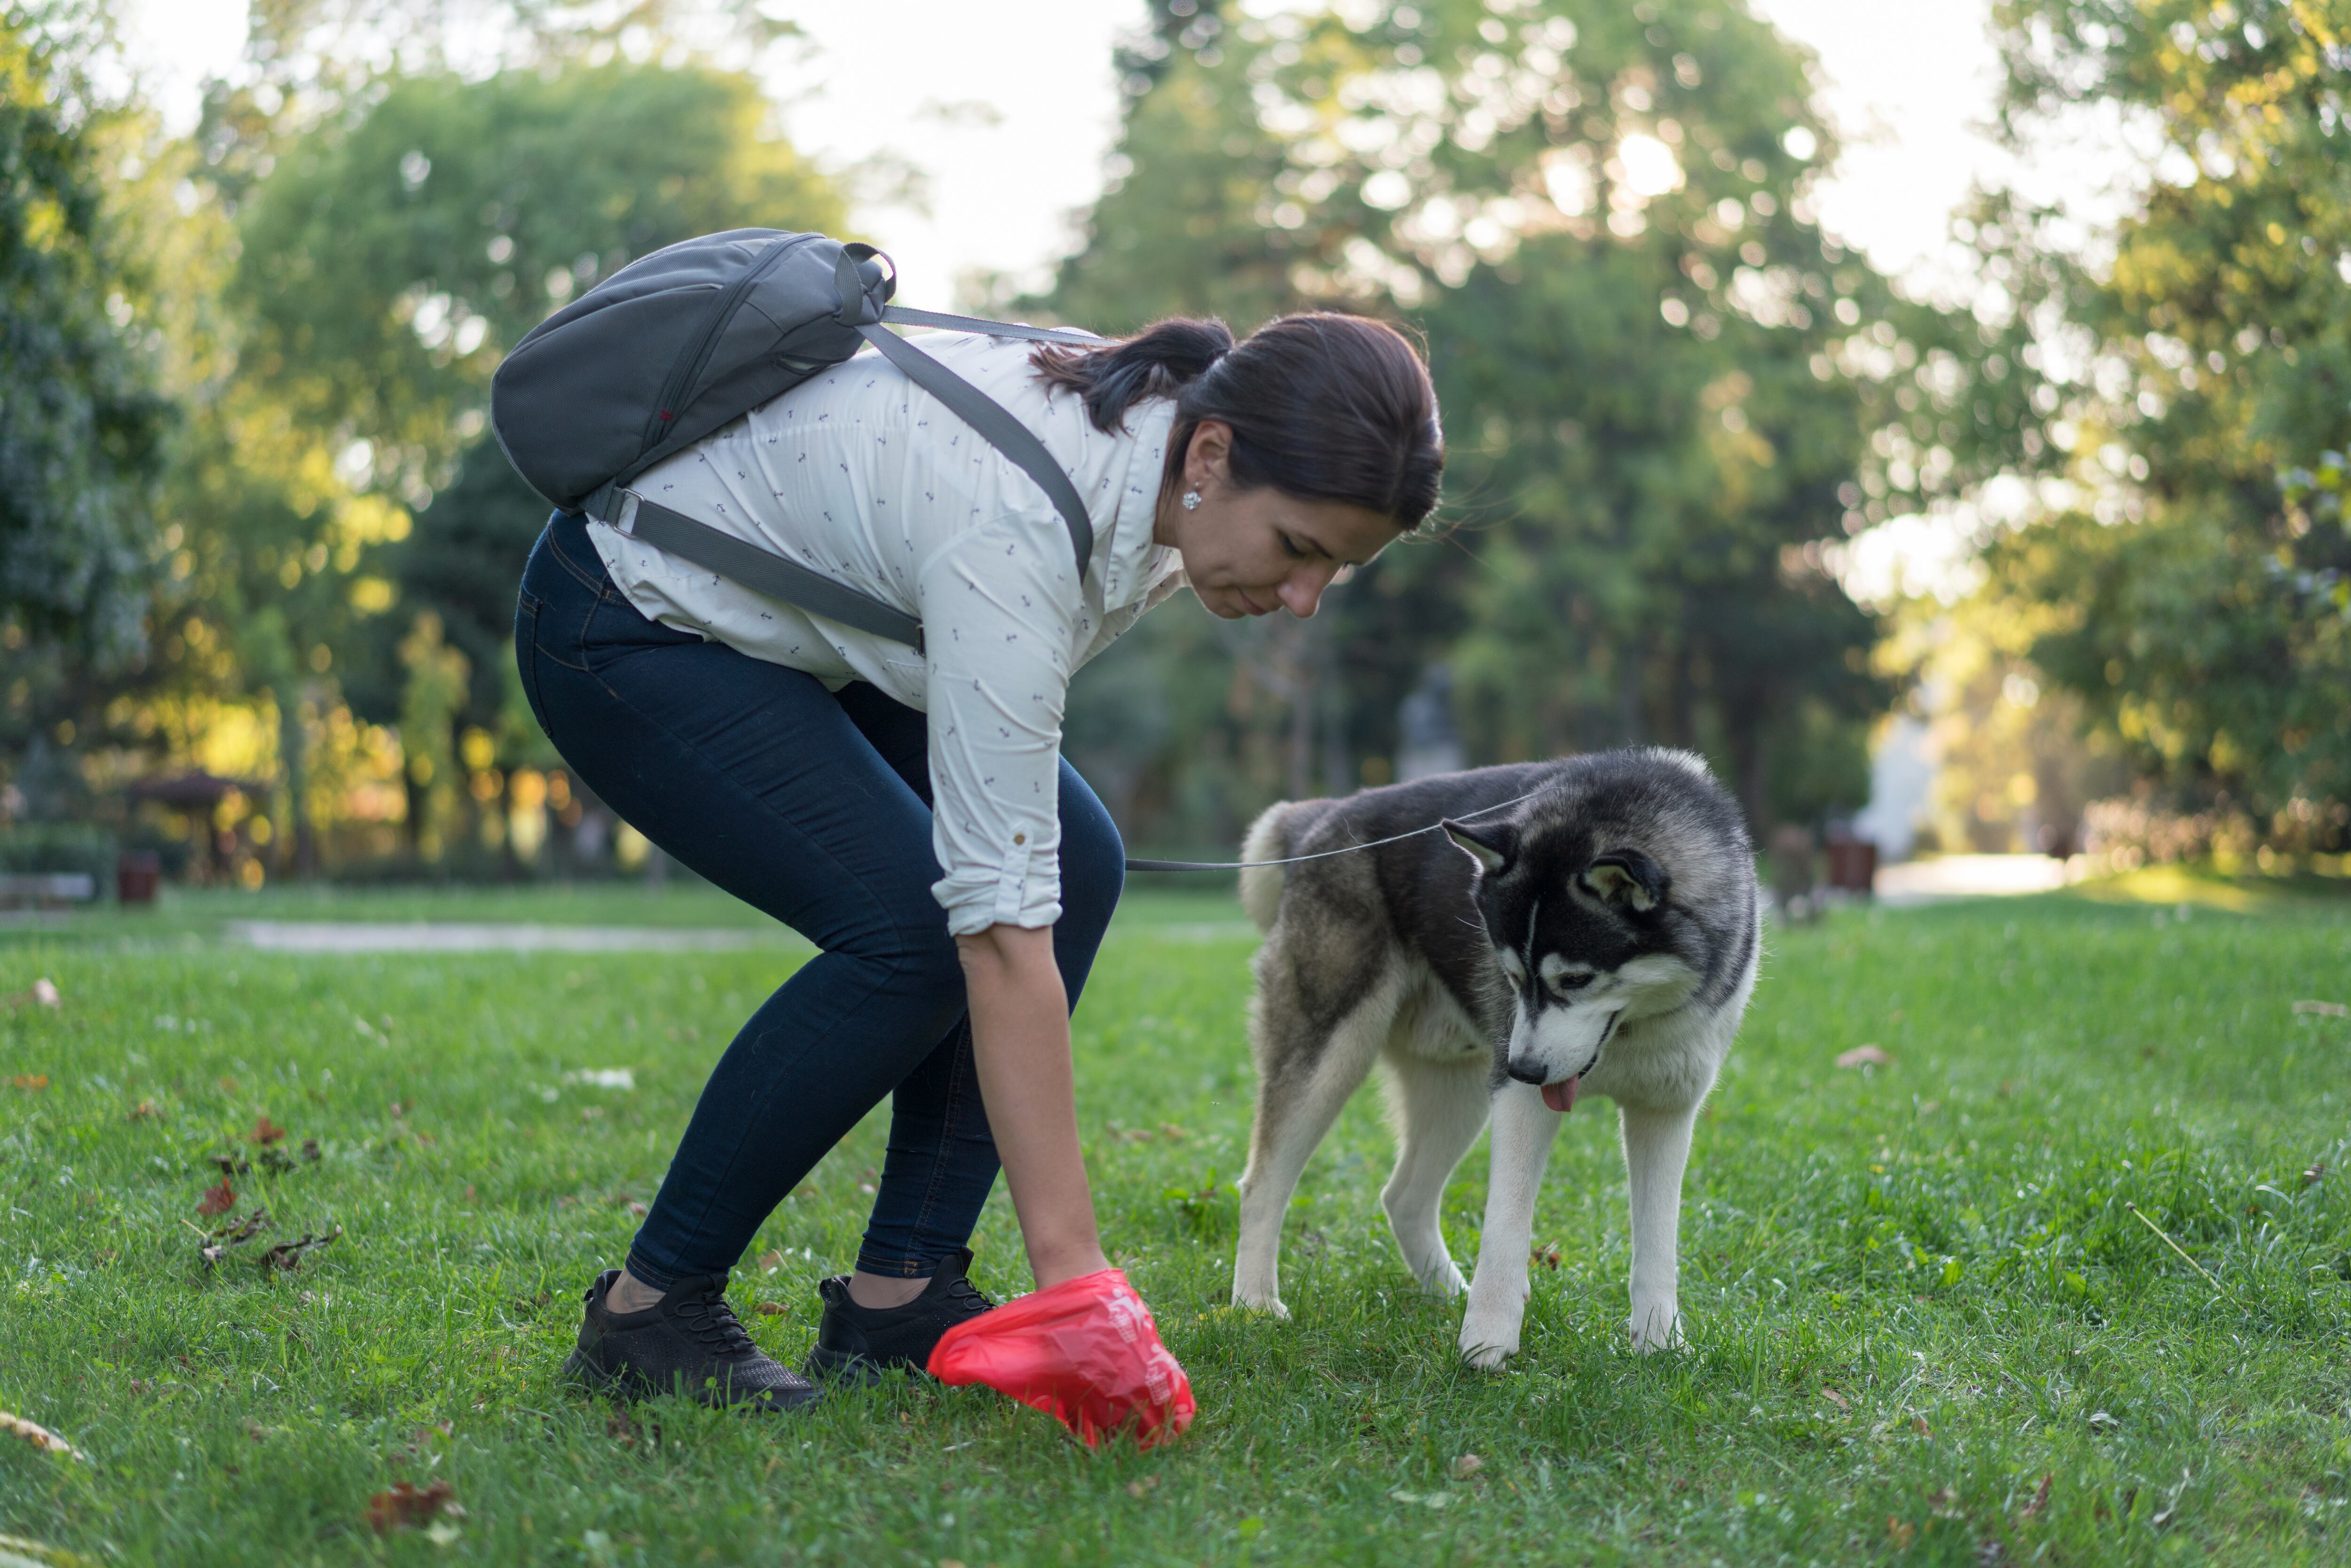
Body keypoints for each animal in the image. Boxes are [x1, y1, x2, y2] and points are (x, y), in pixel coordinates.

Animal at [1241, 748, 1759, 1363]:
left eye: (1576, 979)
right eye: (1511, 975)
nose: (1525, 1068)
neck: (1632, 1030)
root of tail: (1320, 816)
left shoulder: (1666, 1107)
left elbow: (1657, 1238)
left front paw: (1658, 1343)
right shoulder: (1519, 1100)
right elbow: (1506, 1223)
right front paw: (1486, 1339)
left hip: (1460, 1088)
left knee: (1404, 1196)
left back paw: (1446, 1291)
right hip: (1334, 1055)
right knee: (1261, 1183)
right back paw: (1253, 1304)